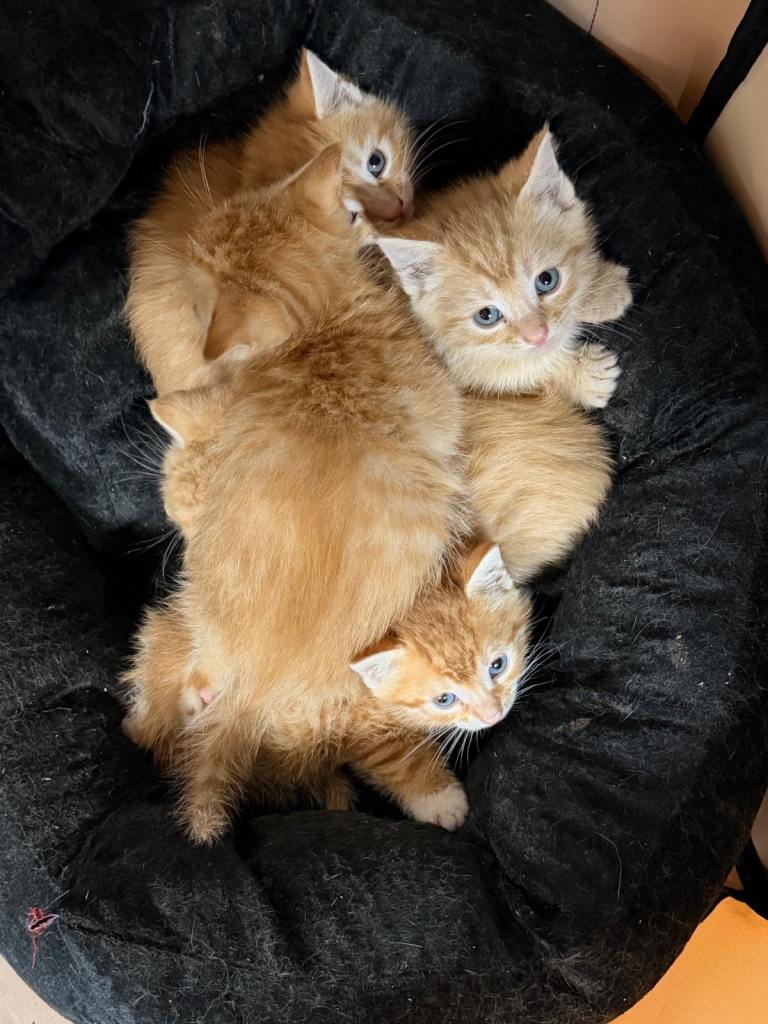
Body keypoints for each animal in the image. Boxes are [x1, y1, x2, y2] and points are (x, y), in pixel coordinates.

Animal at [122, 542, 531, 835]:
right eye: (444, 699)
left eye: (497, 665)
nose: (494, 714)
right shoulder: (359, 727)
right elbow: (402, 760)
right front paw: (443, 802)